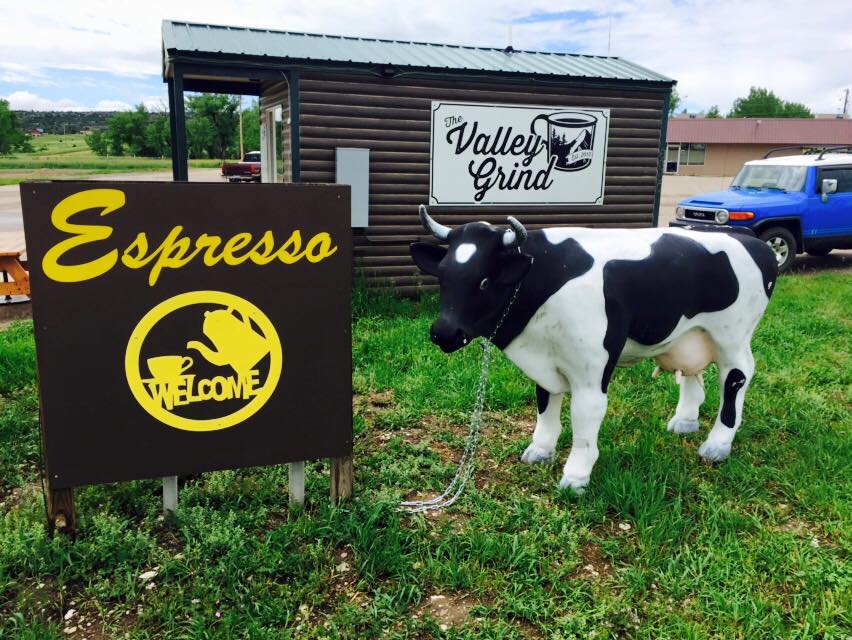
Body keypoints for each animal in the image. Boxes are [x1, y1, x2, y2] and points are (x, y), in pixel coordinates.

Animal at [410, 208, 776, 492]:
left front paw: (576, 476)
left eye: (484, 281)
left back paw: (717, 443)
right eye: (443, 277)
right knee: (691, 374)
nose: (444, 332)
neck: (544, 277)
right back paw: (684, 421)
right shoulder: (546, 358)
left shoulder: (591, 371)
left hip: (733, 336)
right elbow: (545, 404)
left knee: (737, 377)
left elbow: (585, 420)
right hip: (690, 334)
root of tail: (752, 240)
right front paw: (540, 451)